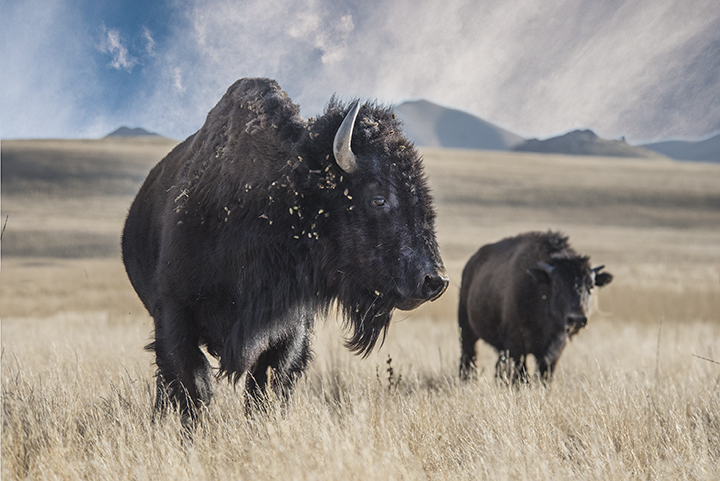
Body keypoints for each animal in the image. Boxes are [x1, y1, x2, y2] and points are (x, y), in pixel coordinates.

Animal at [458, 231, 612, 380]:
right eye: (557, 285)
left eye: (591, 286)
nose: (577, 319)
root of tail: (471, 264)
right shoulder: (516, 346)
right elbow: (521, 375)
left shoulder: (555, 349)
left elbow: (544, 375)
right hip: (467, 330)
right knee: (468, 357)